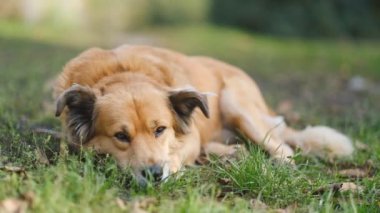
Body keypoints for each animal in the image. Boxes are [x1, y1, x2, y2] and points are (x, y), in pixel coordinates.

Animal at [55, 45, 354, 185]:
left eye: (160, 130)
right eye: (120, 136)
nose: (154, 174)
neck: (122, 73)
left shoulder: (189, 137)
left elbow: (177, 152)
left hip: (236, 105)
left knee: (285, 149)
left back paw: (276, 165)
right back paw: (233, 153)